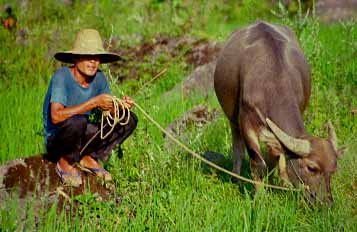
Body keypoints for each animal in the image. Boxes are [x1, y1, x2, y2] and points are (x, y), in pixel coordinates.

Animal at [213, 20, 344, 206]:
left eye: (333, 170)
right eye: (311, 167)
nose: (326, 203)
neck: (272, 82)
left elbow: (275, 160)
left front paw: (274, 187)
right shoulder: (246, 123)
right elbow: (257, 163)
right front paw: (260, 198)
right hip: (233, 120)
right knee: (238, 148)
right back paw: (236, 179)